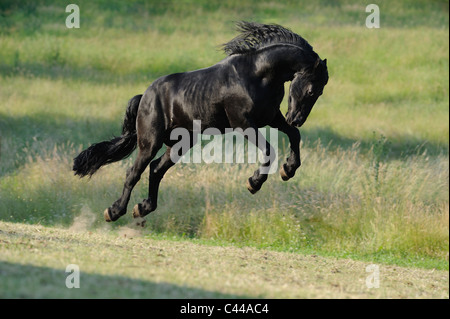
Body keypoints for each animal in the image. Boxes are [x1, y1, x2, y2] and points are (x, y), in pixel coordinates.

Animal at [73, 21, 326, 222]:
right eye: (312, 90)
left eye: (320, 92)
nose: (297, 118)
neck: (258, 74)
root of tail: (144, 95)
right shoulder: (244, 123)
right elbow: (269, 150)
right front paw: (254, 183)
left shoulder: (272, 118)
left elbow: (293, 136)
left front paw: (288, 170)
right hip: (150, 142)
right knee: (133, 173)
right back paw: (114, 211)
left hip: (180, 143)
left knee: (156, 169)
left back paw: (142, 208)